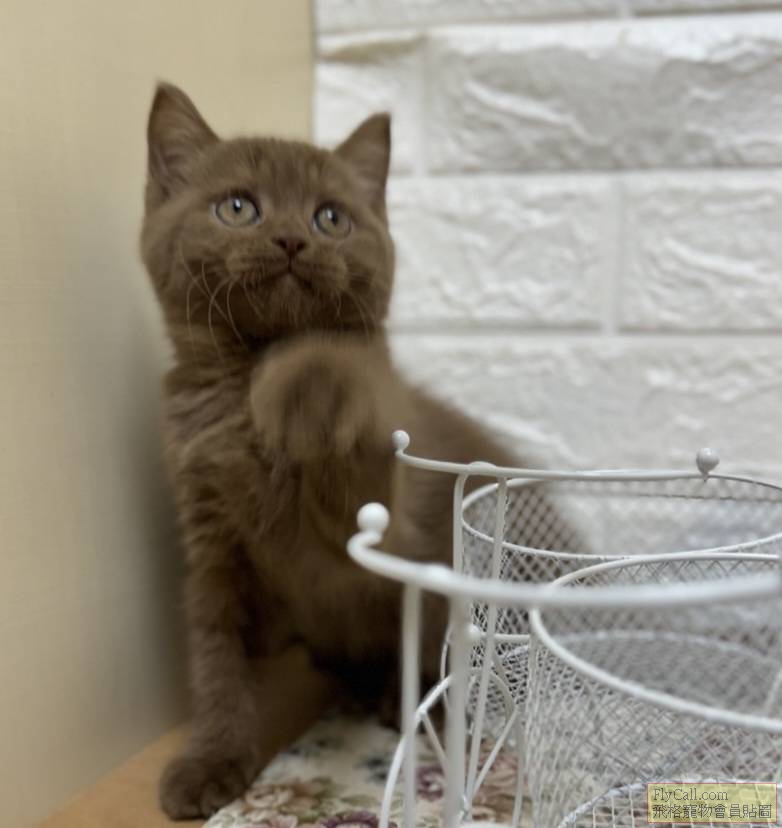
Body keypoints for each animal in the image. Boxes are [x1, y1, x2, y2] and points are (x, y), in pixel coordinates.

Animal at [141, 83, 515, 820]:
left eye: (331, 217)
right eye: (238, 206)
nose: (292, 239)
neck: (242, 392)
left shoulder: (365, 518)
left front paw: (308, 370)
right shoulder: (213, 546)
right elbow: (217, 658)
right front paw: (211, 760)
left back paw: (411, 701)